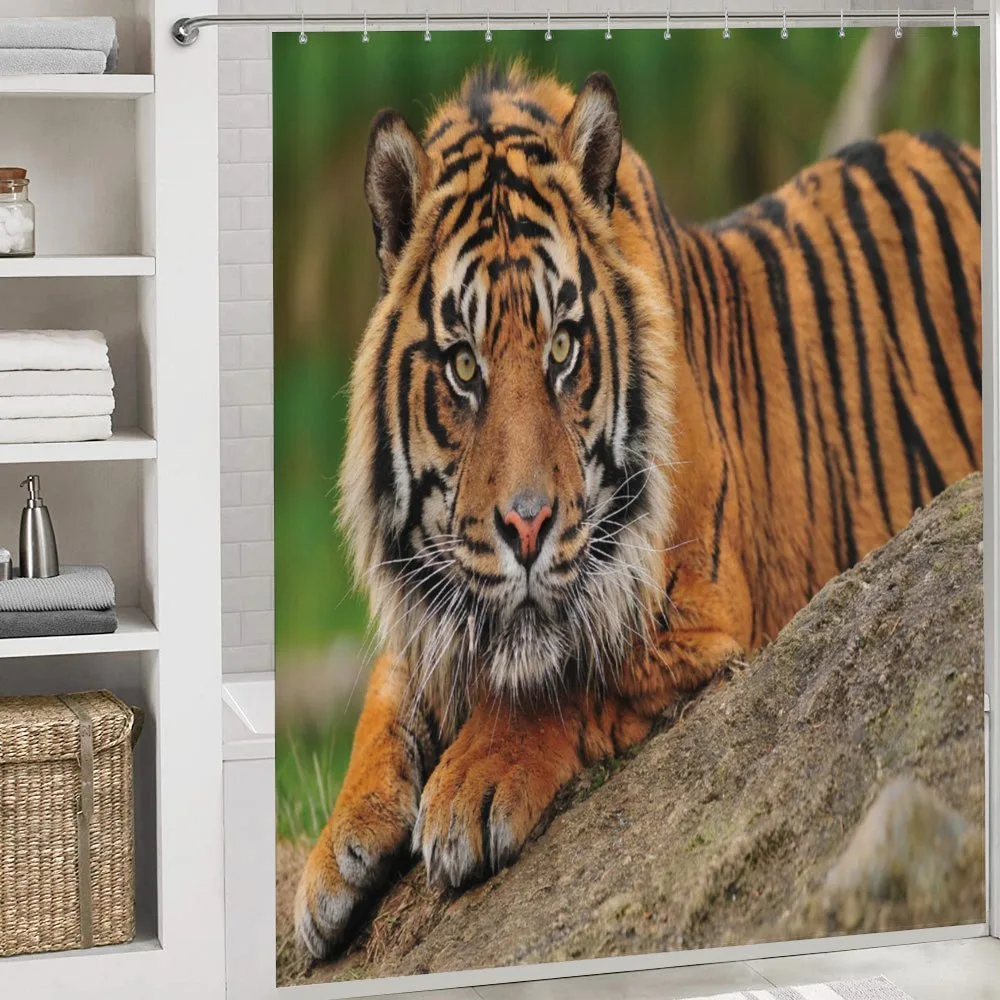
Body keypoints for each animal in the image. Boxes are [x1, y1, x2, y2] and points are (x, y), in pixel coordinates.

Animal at [294, 63, 982, 959]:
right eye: (463, 366)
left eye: (562, 348)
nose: (526, 527)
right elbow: (388, 692)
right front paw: (333, 858)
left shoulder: (694, 612)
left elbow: (562, 677)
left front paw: (469, 789)